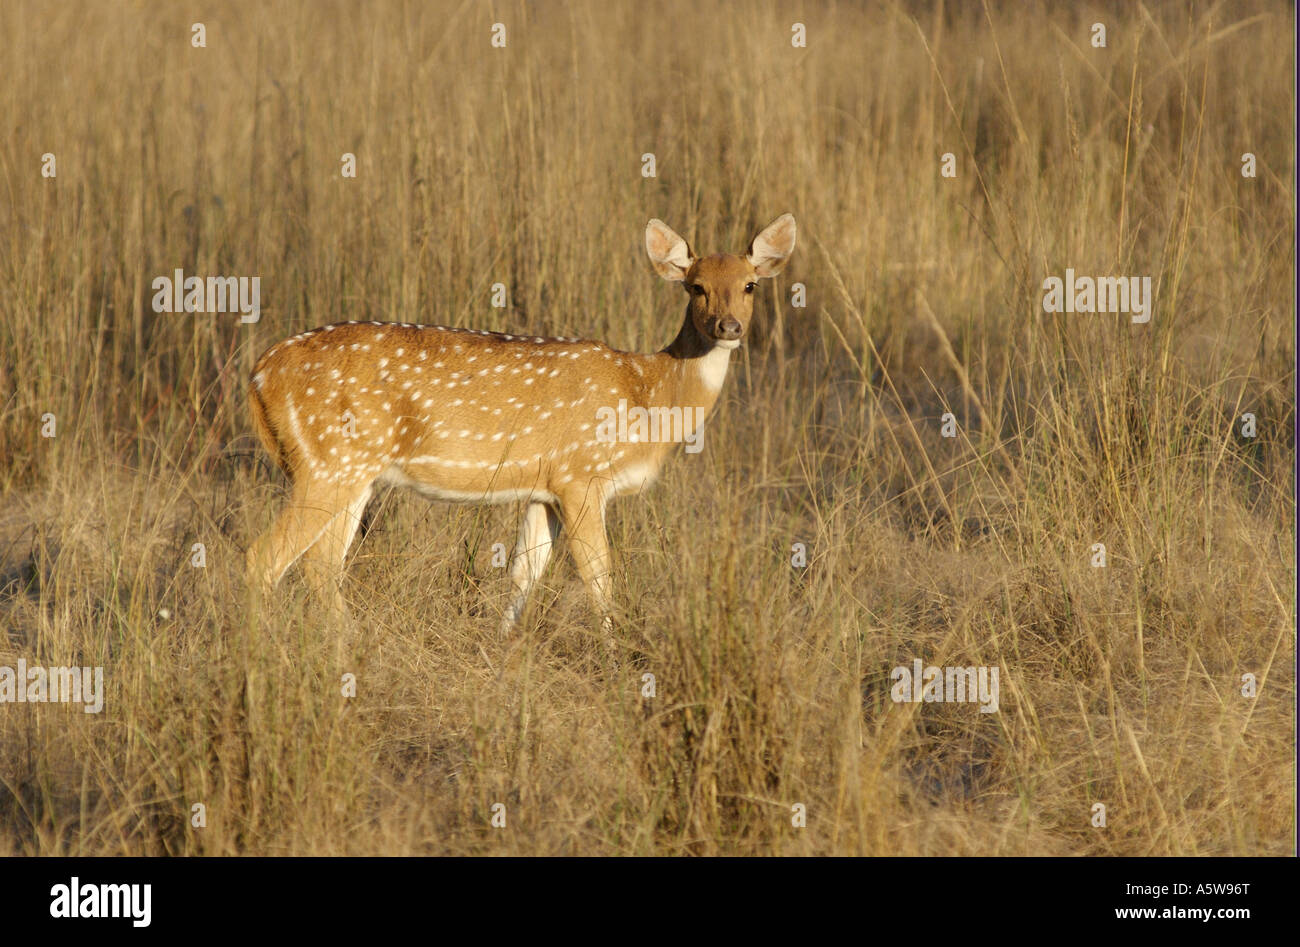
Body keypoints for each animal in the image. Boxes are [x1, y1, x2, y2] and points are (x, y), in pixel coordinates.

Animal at [243, 214, 790, 637]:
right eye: (695, 286)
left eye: (750, 285)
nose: (729, 327)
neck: (646, 392)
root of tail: (259, 374)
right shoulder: (581, 476)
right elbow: (599, 578)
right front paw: (616, 658)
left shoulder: (544, 487)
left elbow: (525, 573)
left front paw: (500, 646)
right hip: (327, 461)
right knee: (264, 559)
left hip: (352, 472)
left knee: (320, 565)